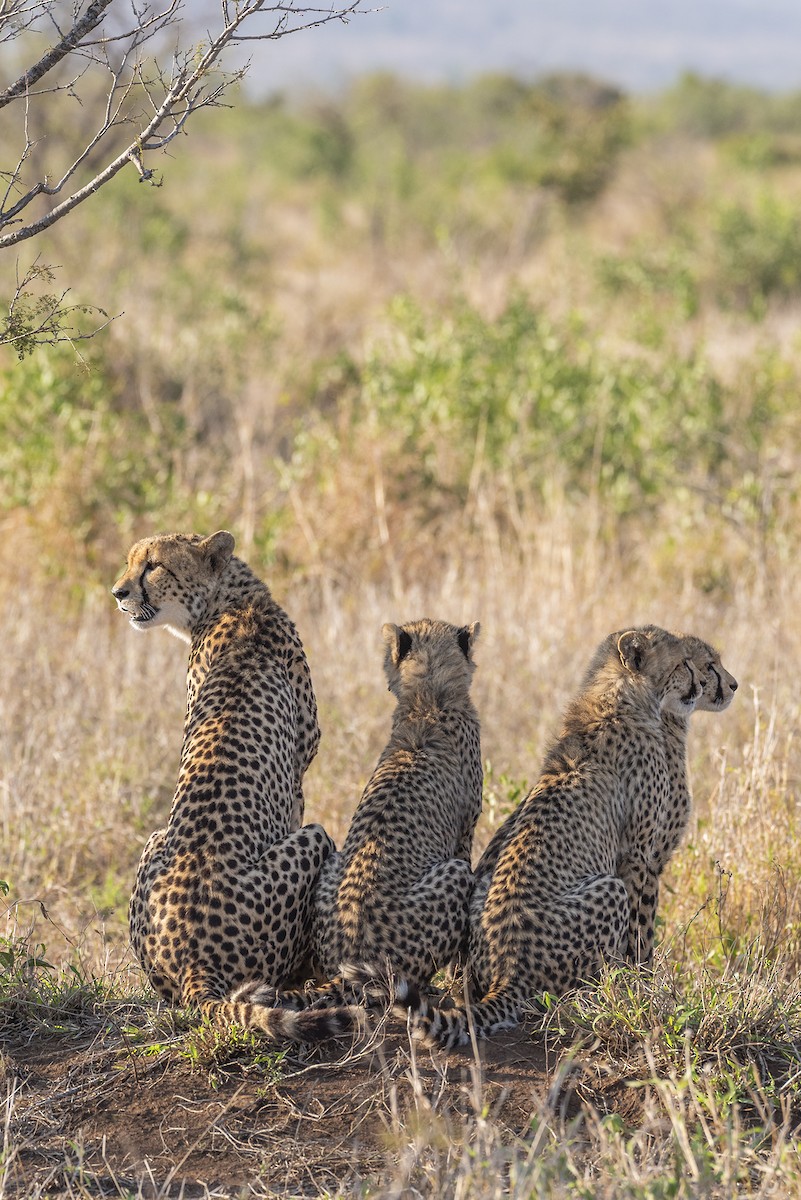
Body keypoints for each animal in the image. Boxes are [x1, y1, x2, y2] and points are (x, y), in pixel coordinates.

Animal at [113, 530, 341, 1040]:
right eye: (131, 562)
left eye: (153, 566)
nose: (118, 593)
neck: (232, 602)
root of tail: (193, 962)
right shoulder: (300, 775)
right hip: (316, 837)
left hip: (154, 839)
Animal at [230, 618, 483, 1034]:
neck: (428, 699)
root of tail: (350, 955)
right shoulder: (465, 837)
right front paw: (461, 980)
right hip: (454, 874)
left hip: (331, 862)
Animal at [386, 627, 708, 1049]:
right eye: (683, 663)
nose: (702, 684)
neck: (619, 698)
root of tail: (508, 972)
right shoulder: (639, 856)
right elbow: (642, 934)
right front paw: (641, 988)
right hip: (609, 890)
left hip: (478, 888)